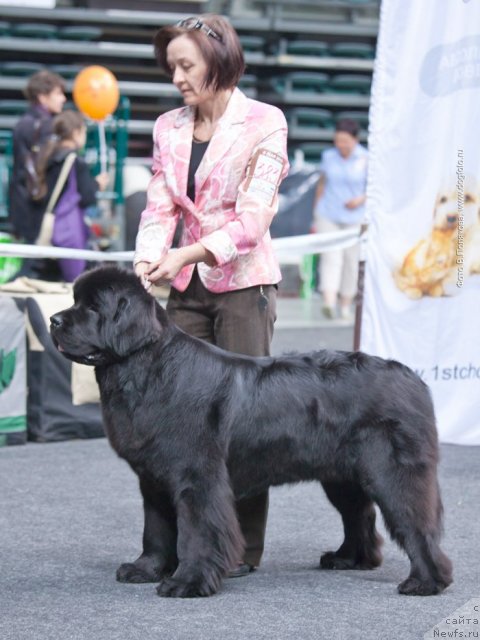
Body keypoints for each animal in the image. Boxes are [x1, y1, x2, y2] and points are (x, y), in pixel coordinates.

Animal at [50, 268, 452, 596]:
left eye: (93, 308)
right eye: (74, 301)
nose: (54, 320)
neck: (145, 369)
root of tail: (411, 377)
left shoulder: (197, 477)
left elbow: (196, 531)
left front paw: (186, 582)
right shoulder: (153, 478)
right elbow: (157, 529)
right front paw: (145, 570)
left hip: (391, 471)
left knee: (415, 522)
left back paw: (426, 581)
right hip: (343, 475)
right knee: (359, 515)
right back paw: (349, 559)